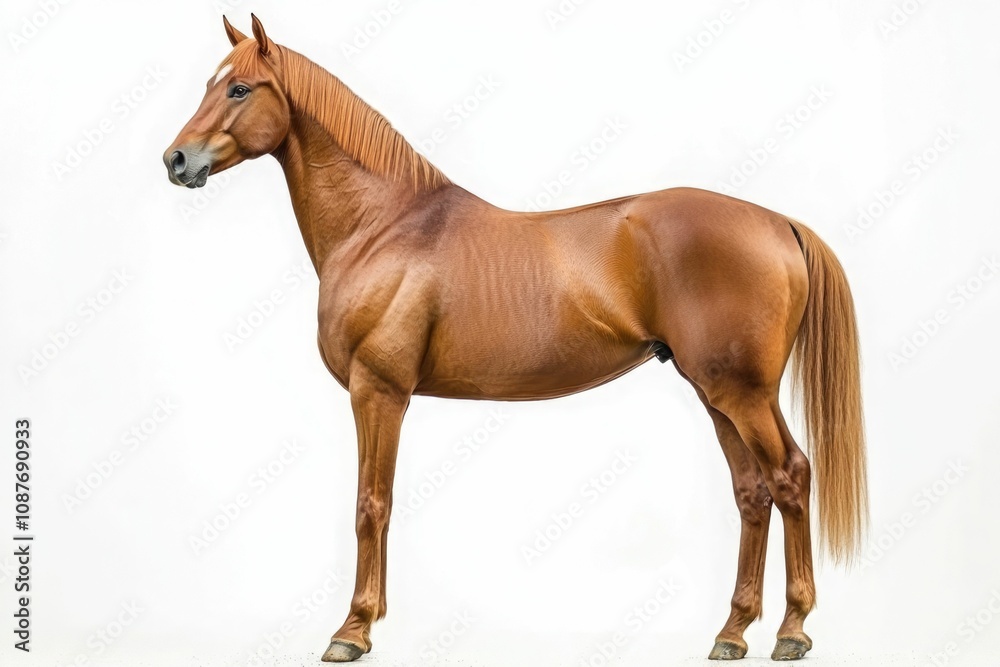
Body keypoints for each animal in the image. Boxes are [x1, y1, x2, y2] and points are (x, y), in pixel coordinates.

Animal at [163, 15, 867, 663]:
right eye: (210, 84)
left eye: (240, 89)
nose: (176, 160)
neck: (383, 225)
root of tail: (777, 222)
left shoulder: (378, 391)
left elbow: (371, 503)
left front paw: (353, 630)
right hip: (718, 395)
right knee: (752, 493)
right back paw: (731, 632)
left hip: (743, 394)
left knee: (789, 477)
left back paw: (792, 629)